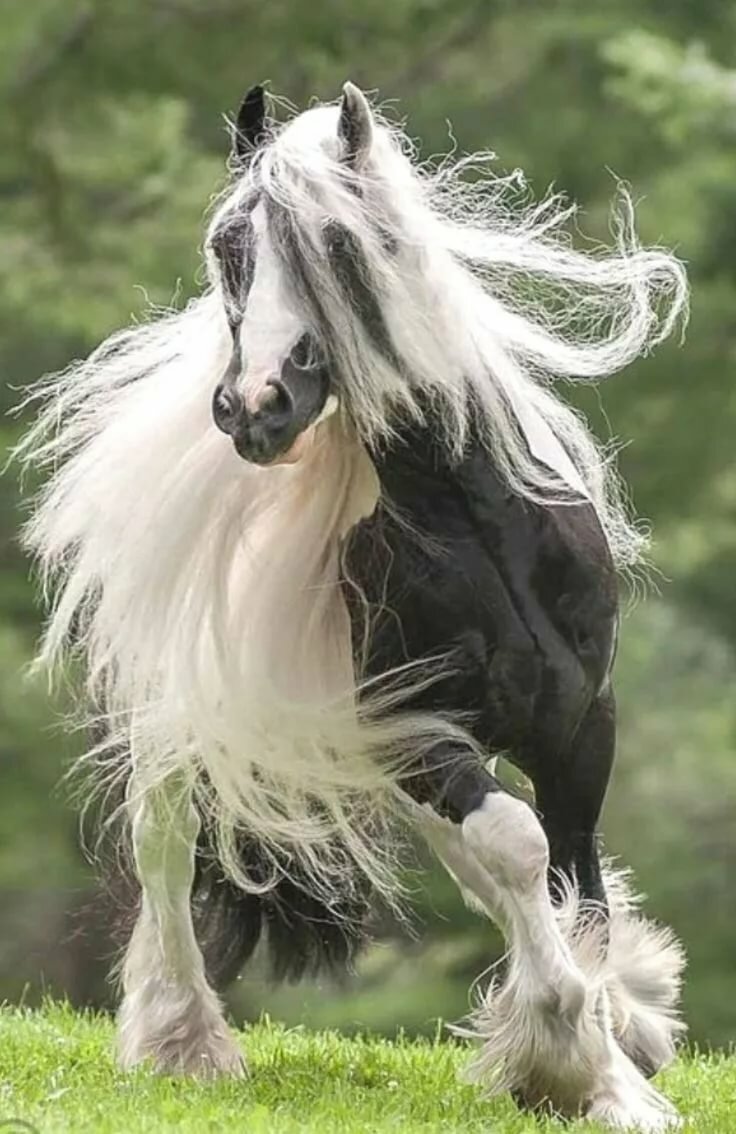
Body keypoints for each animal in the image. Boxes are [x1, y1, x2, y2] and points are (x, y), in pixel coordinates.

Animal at [19, 82, 689, 1130]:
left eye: (336, 245)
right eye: (228, 246)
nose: (256, 408)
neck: (474, 526)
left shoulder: (581, 725)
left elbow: (570, 877)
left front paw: (612, 1054)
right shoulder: (413, 733)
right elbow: (517, 844)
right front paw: (568, 1061)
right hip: (184, 734)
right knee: (163, 847)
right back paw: (183, 1041)